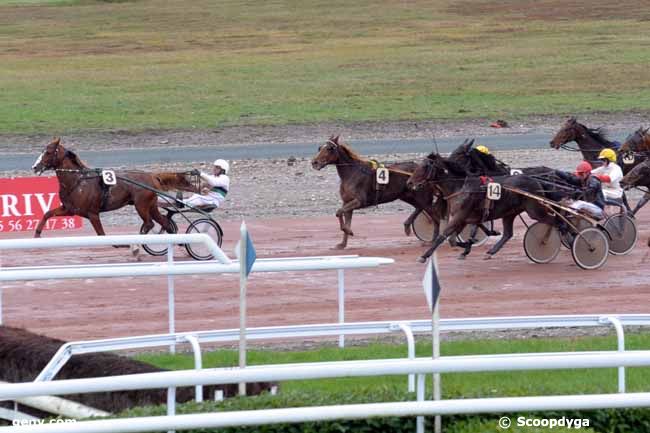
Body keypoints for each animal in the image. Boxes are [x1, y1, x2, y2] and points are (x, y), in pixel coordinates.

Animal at [31, 138, 197, 238]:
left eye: (48, 152)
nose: (34, 167)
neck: (78, 181)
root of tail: (152, 176)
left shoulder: (92, 214)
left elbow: (101, 234)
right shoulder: (70, 209)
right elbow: (47, 214)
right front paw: (37, 234)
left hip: (141, 205)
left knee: (149, 223)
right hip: (151, 205)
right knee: (164, 223)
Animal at [308, 135, 440, 250]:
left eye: (329, 148)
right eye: (319, 147)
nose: (314, 162)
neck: (353, 172)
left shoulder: (359, 201)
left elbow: (339, 212)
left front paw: (348, 231)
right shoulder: (347, 203)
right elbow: (344, 217)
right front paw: (342, 243)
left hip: (421, 196)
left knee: (434, 216)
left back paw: (434, 239)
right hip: (408, 196)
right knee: (419, 208)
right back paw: (408, 226)